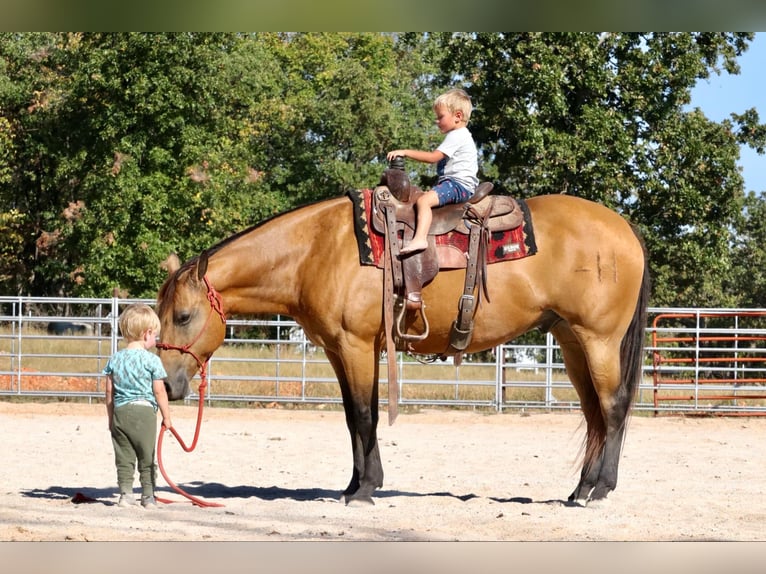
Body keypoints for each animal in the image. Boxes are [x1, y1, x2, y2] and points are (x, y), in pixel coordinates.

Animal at [159, 191, 652, 506]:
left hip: (599, 340)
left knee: (613, 408)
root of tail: (626, 228)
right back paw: (580, 489)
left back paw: (600, 489)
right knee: (593, 413)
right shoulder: (341, 351)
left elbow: (364, 415)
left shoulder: (356, 346)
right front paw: (355, 484)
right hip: (571, 342)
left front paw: (364, 490)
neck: (314, 251)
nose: (168, 384)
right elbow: (353, 419)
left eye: (182, 316)